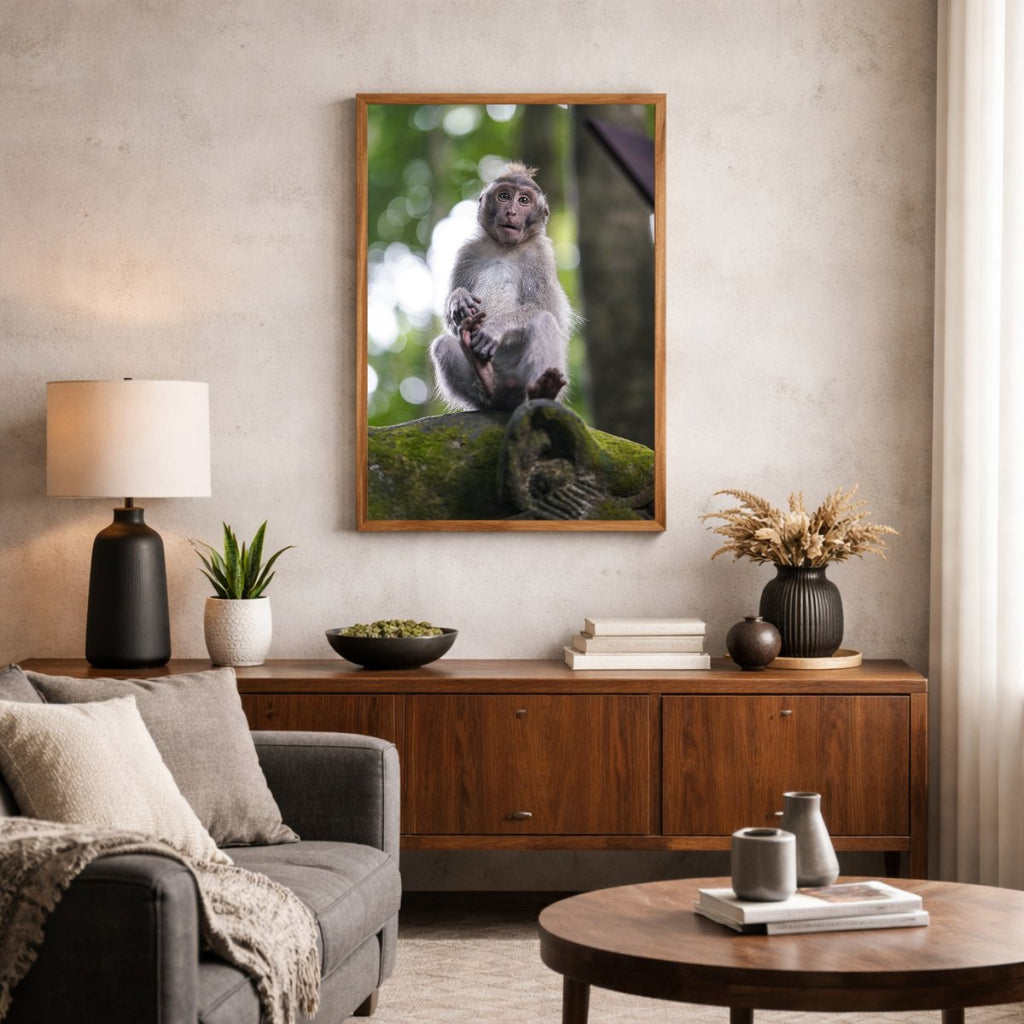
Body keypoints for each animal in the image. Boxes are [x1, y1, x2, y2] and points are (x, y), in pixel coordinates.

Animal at [429, 163, 573, 412]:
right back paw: (488, 384)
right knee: (443, 345)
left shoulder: (540, 255)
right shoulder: (468, 252)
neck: (505, 248)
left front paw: (496, 328)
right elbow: (451, 323)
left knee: (543, 320)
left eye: (524, 200)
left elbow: (547, 309)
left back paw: (543, 391)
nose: (511, 212)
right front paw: (458, 298)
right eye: (504, 196)